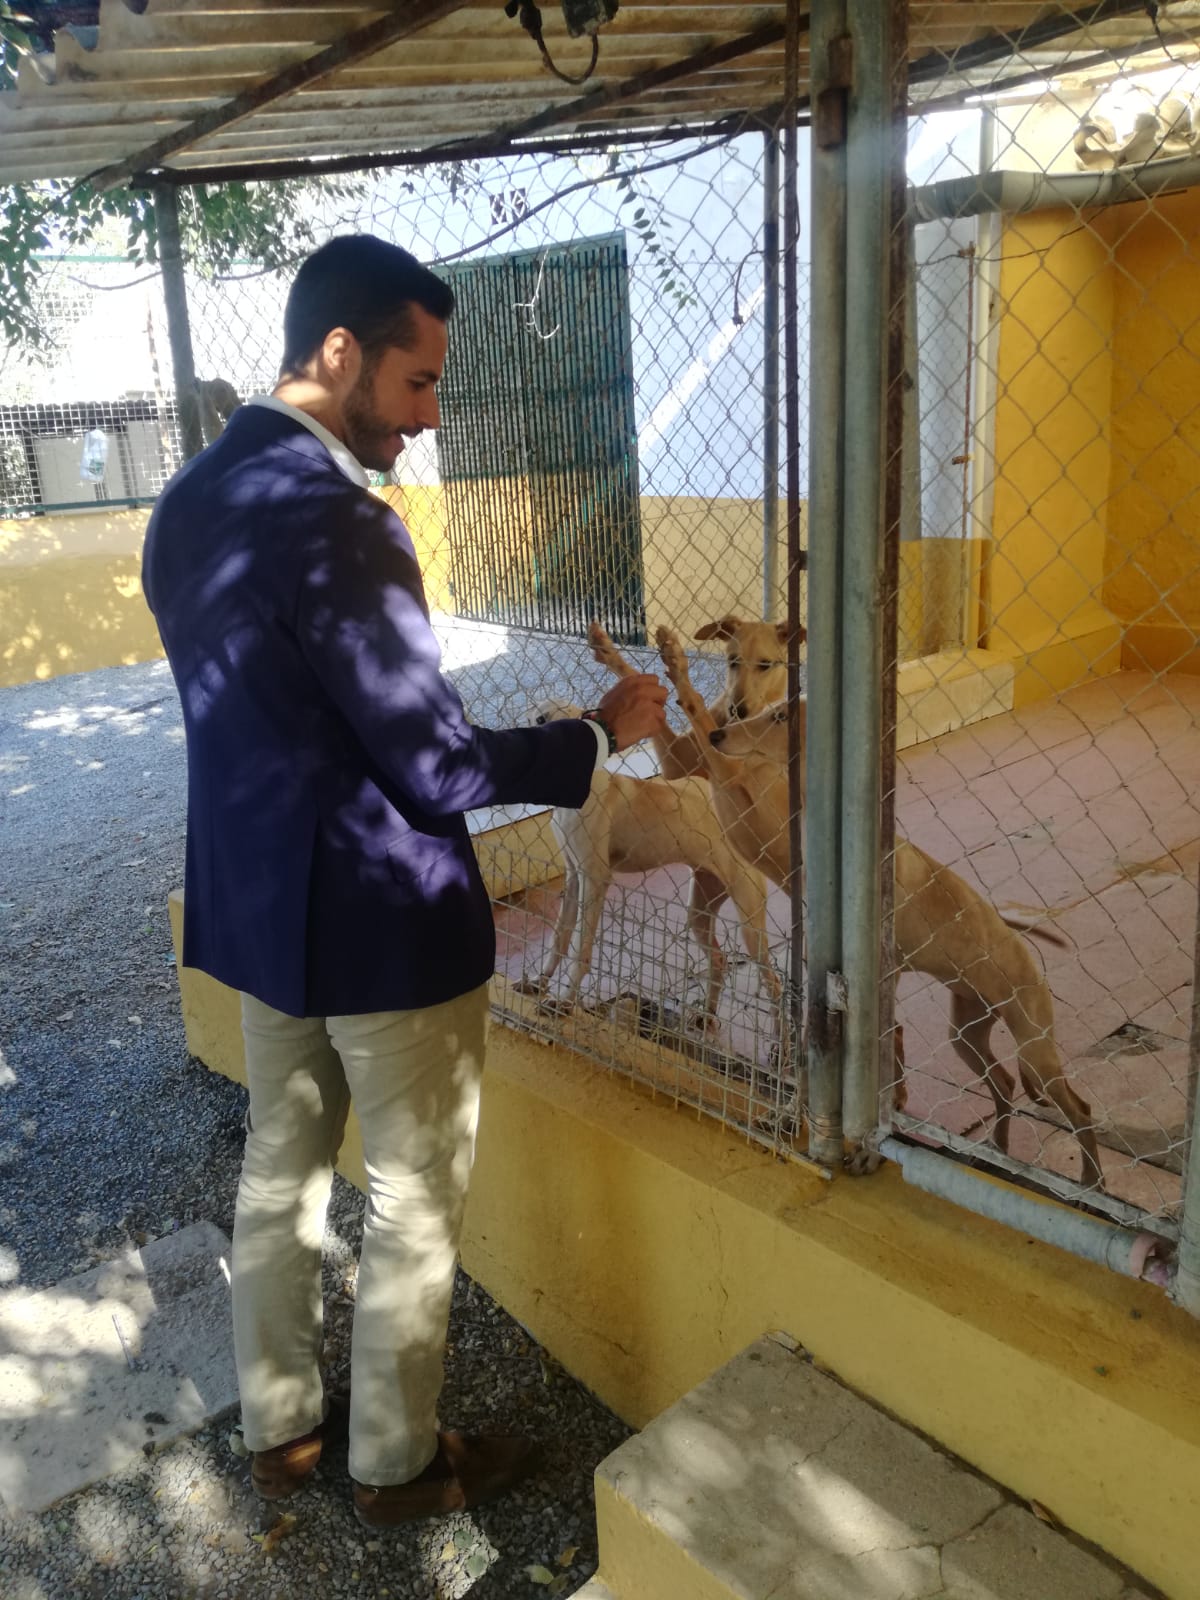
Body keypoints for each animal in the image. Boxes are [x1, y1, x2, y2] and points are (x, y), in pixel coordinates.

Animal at [515, 697, 780, 1024]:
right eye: (537, 719)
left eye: (573, 725)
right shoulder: (574, 876)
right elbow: (559, 939)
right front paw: (539, 982)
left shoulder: (594, 878)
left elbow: (579, 948)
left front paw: (564, 1002)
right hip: (700, 909)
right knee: (718, 959)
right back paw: (706, 1015)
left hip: (749, 921)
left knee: (773, 984)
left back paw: (782, 1038)